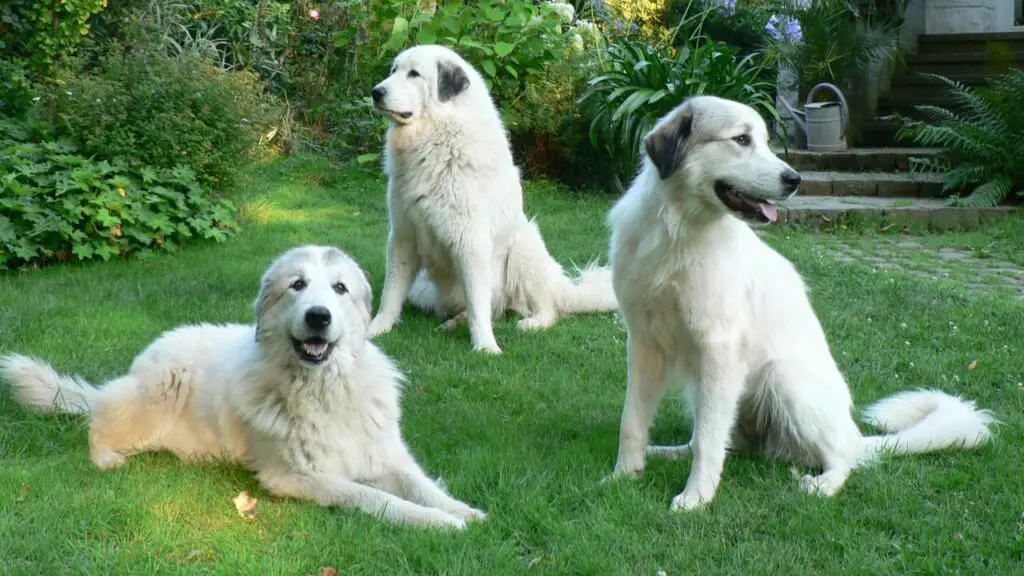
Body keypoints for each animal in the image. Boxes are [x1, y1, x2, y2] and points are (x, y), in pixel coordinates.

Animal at [0, 243, 487, 528]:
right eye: (297, 286)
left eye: (339, 289)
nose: (318, 316)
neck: (323, 389)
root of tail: (146, 355)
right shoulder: (298, 477)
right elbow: (376, 499)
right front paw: (439, 524)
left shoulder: (385, 453)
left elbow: (421, 486)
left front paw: (464, 511)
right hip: (150, 400)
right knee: (97, 424)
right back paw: (105, 458)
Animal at [366, 42, 614, 352]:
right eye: (393, 70)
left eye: (414, 74)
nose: (376, 91)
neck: (435, 138)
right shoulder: (403, 237)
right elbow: (391, 293)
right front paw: (375, 330)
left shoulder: (471, 242)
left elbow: (477, 302)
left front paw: (485, 346)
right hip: (423, 288)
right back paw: (452, 322)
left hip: (524, 247)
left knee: (544, 307)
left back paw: (531, 323)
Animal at [602, 95, 995, 510]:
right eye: (741, 139)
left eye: (765, 140)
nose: (794, 180)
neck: (677, 231)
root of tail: (855, 435)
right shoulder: (645, 344)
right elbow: (635, 421)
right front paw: (623, 475)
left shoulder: (718, 350)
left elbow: (709, 441)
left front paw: (696, 497)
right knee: (719, 441)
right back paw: (666, 452)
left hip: (781, 378)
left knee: (841, 458)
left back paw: (823, 484)